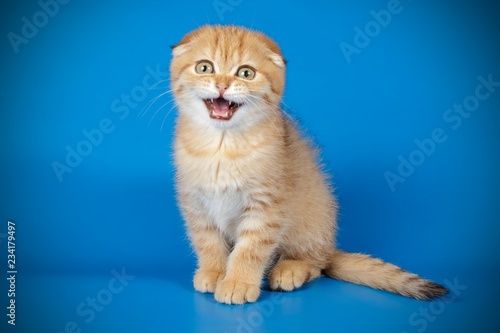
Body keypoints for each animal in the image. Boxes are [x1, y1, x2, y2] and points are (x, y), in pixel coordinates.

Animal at [170, 25, 448, 304]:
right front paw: (214, 271)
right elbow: (208, 243)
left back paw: (290, 269)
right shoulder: (196, 204)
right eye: (205, 67)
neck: (222, 147)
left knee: (316, 264)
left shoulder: (266, 207)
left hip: (311, 224)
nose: (222, 84)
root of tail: (329, 246)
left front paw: (238, 282)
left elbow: (250, 250)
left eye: (246, 73)